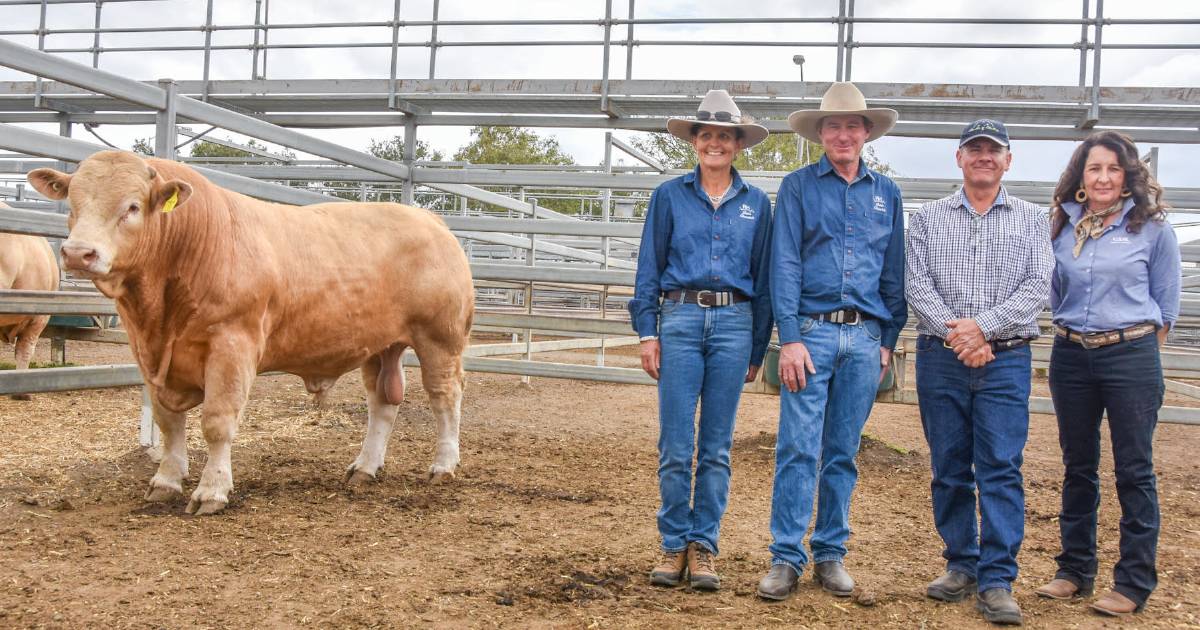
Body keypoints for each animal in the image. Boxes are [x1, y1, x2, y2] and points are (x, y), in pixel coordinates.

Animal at [25, 150, 470, 513]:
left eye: (132, 206)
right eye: (72, 202)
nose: (78, 253)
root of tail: (429, 219)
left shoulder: (231, 343)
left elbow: (217, 421)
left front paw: (212, 491)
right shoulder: (146, 353)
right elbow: (169, 423)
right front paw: (166, 481)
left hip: (440, 338)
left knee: (444, 397)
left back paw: (443, 465)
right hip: (380, 346)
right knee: (383, 403)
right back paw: (364, 467)